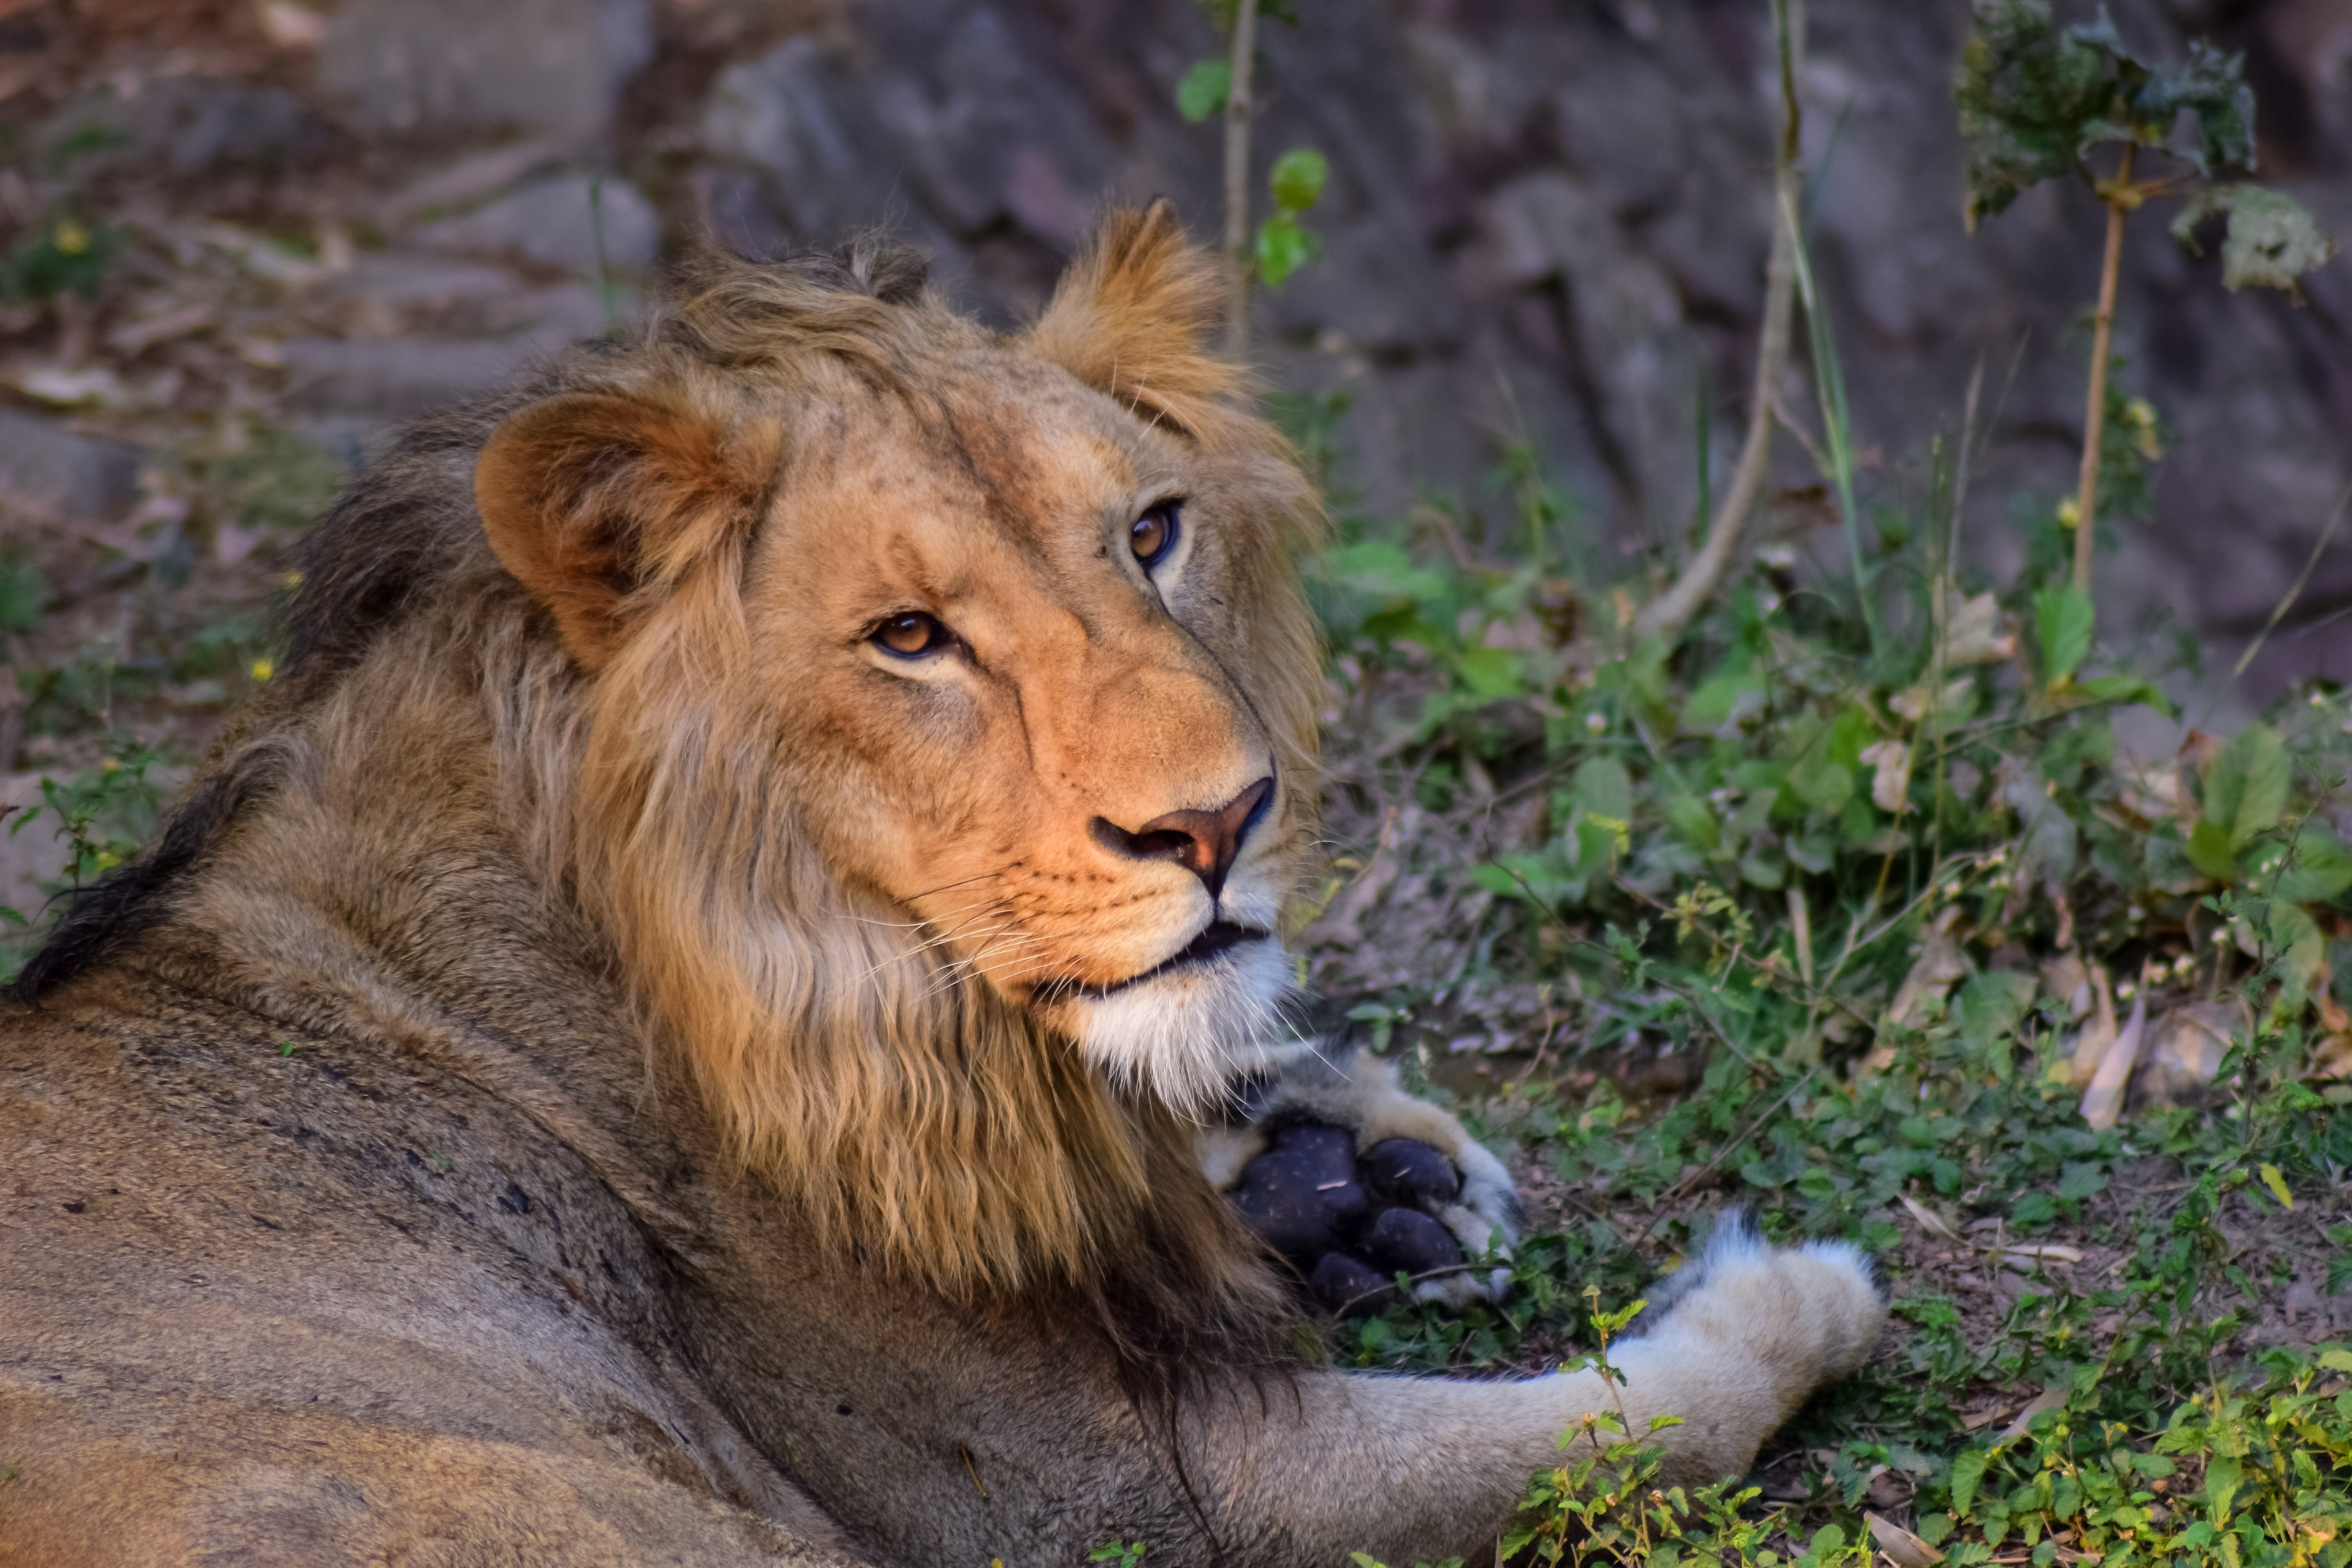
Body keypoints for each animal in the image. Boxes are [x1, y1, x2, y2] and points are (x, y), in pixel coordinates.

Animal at [0, 204, 1882, 1567]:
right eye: (910, 638)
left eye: (1151, 534)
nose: (1223, 820)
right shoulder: (1109, 1486)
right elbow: (1603, 1425)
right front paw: (1792, 1288)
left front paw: (1358, 1174)